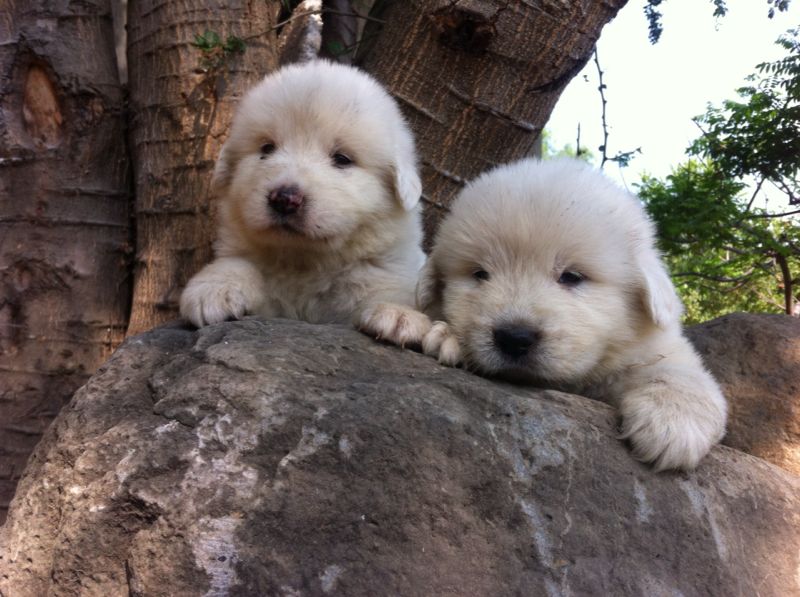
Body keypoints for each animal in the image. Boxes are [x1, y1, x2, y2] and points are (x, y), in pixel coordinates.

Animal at [180, 60, 432, 342]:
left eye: (342, 159)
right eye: (267, 148)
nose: (284, 199)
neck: (304, 261)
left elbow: (389, 289)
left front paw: (397, 313)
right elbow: (238, 263)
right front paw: (213, 290)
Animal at [412, 157, 724, 470]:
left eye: (572, 276)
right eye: (480, 274)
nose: (514, 338)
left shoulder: (655, 350)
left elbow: (678, 374)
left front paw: (673, 424)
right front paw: (449, 338)